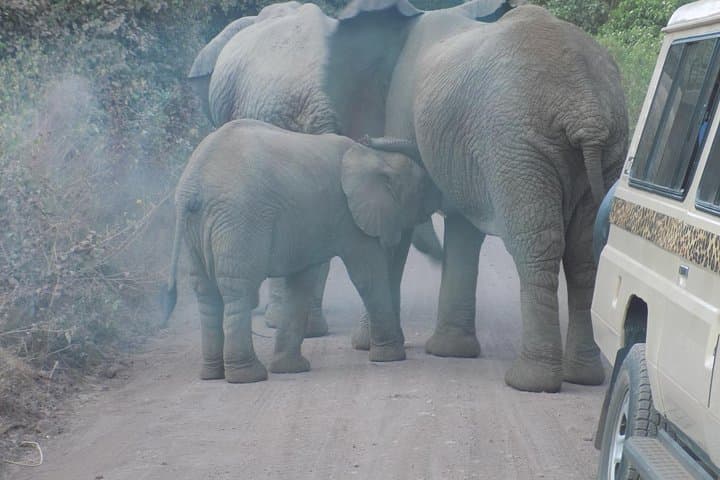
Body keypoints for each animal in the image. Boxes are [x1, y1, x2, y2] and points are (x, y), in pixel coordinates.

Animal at [163, 119, 439, 383]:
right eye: (423, 187)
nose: (366, 136)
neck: (373, 157)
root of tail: (192, 186)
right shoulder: (349, 217)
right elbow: (367, 275)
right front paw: (391, 356)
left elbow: (301, 283)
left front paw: (290, 369)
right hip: (239, 221)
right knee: (237, 291)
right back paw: (248, 376)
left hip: (196, 230)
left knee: (206, 294)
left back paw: (212, 375)